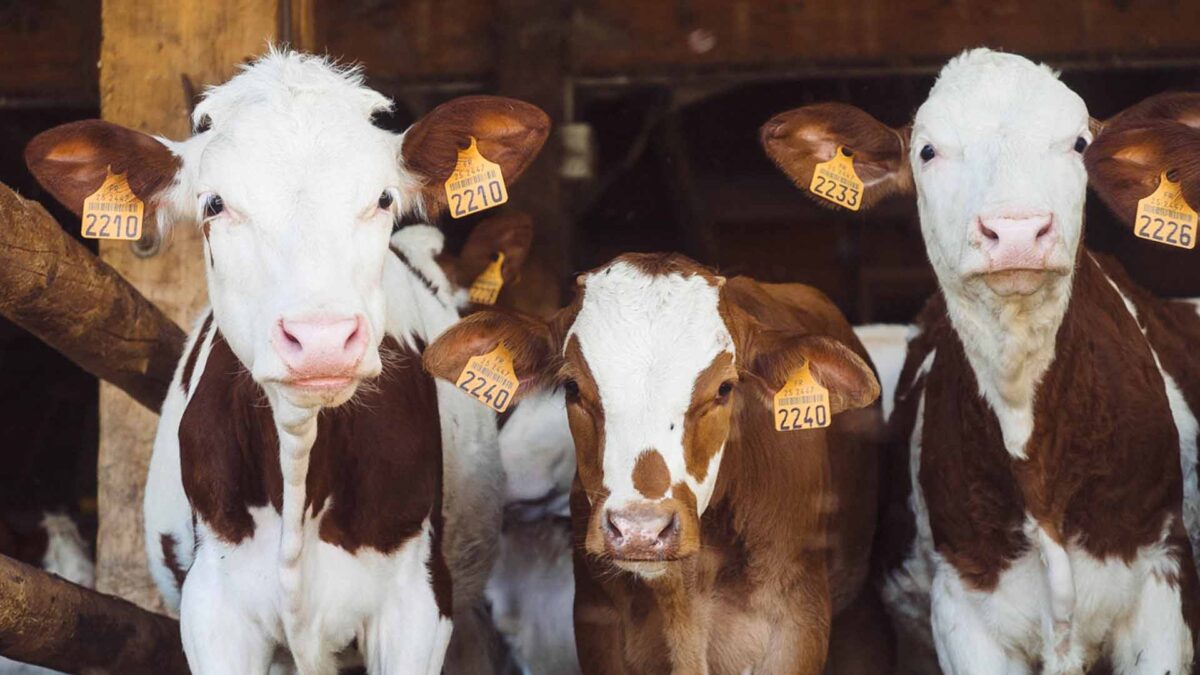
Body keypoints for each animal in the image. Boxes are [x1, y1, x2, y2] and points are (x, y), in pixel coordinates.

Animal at [422, 252, 892, 672]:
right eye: (572, 387)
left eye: (724, 388)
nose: (640, 531)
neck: (684, 594)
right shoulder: (597, 626)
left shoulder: (796, 628)